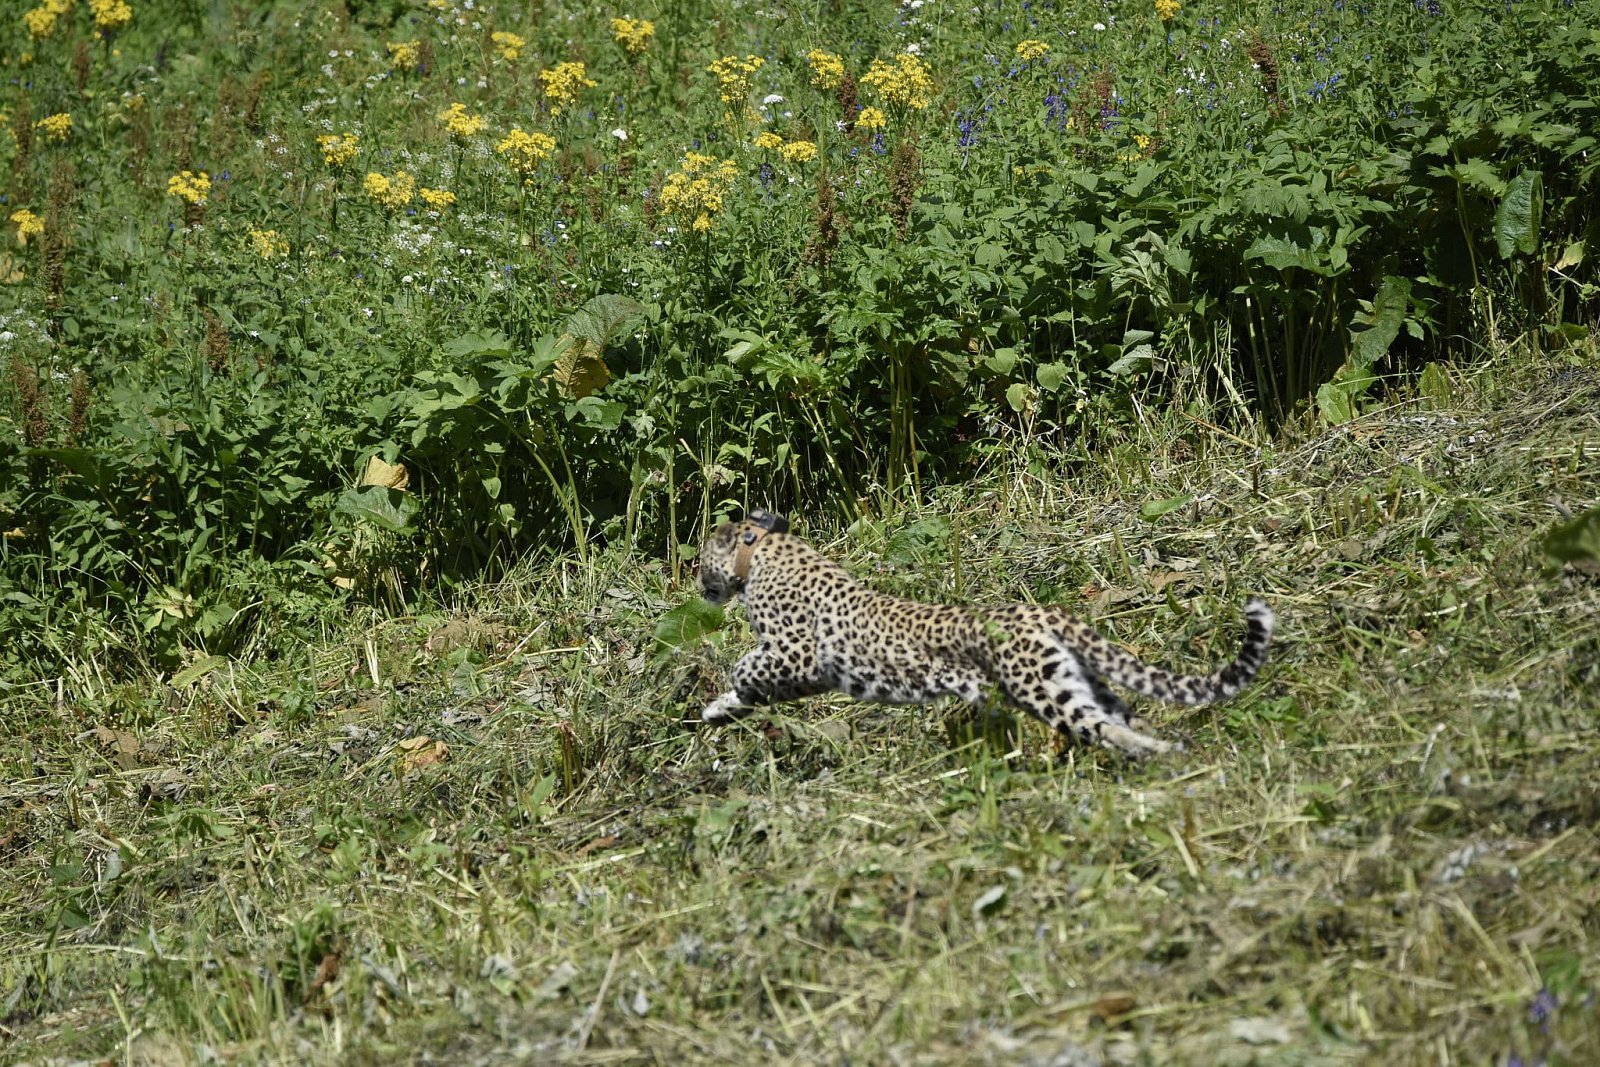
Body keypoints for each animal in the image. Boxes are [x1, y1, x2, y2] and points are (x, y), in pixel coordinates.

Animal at [697, 511, 1273, 755]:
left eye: (702, 558)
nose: (699, 585)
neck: (762, 552)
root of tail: (1043, 614)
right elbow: (748, 689)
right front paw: (720, 709)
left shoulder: (796, 653)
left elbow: (749, 665)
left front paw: (729, 690)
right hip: (1072, 678)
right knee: (1120, 713)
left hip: (1039, 687)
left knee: (1100, 725)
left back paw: (1155, 755)